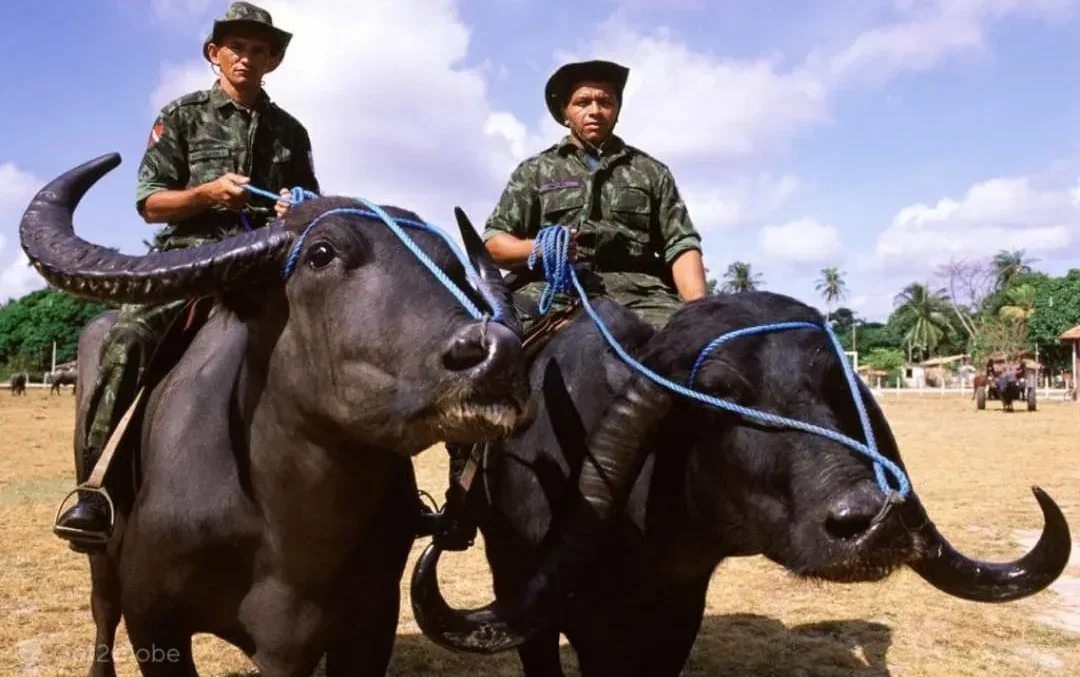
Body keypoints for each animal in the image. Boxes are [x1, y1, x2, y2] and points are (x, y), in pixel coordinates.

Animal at [19, 153, 533, 677]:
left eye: (452, 267)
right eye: (321, 254)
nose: (495, 352)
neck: (292, 538)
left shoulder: (372, 622)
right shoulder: (153, 620)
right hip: (101, 530)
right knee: (103, 603)